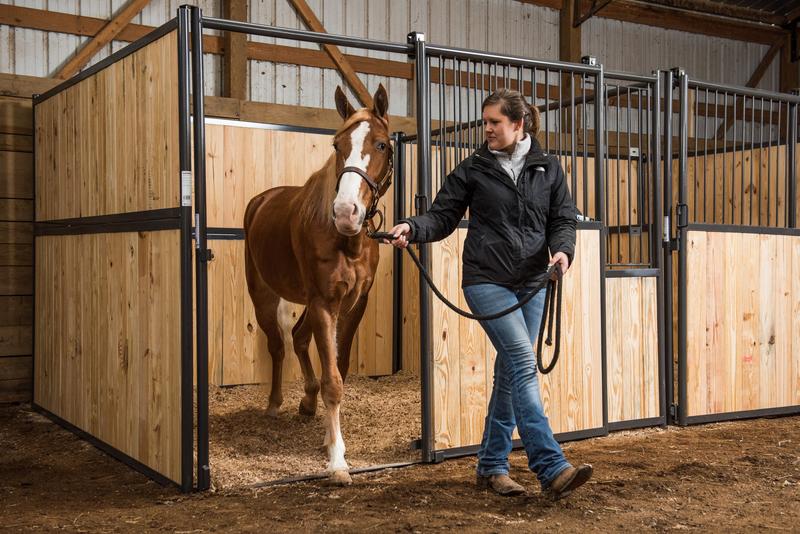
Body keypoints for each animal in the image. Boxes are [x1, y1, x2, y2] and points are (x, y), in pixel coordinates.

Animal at [243, 84, 393, 485]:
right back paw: (274, 404)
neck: (346, 240)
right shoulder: (325, 302)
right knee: (278, 345)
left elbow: (337, 370)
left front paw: (329, 437)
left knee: (297, 338)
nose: (346, 212)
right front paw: (337, 460)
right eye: (337, 144)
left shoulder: (355, 304)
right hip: (264, 298)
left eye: (382, 144)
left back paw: (307, 401)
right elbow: (333, 381)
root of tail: (262, 199)